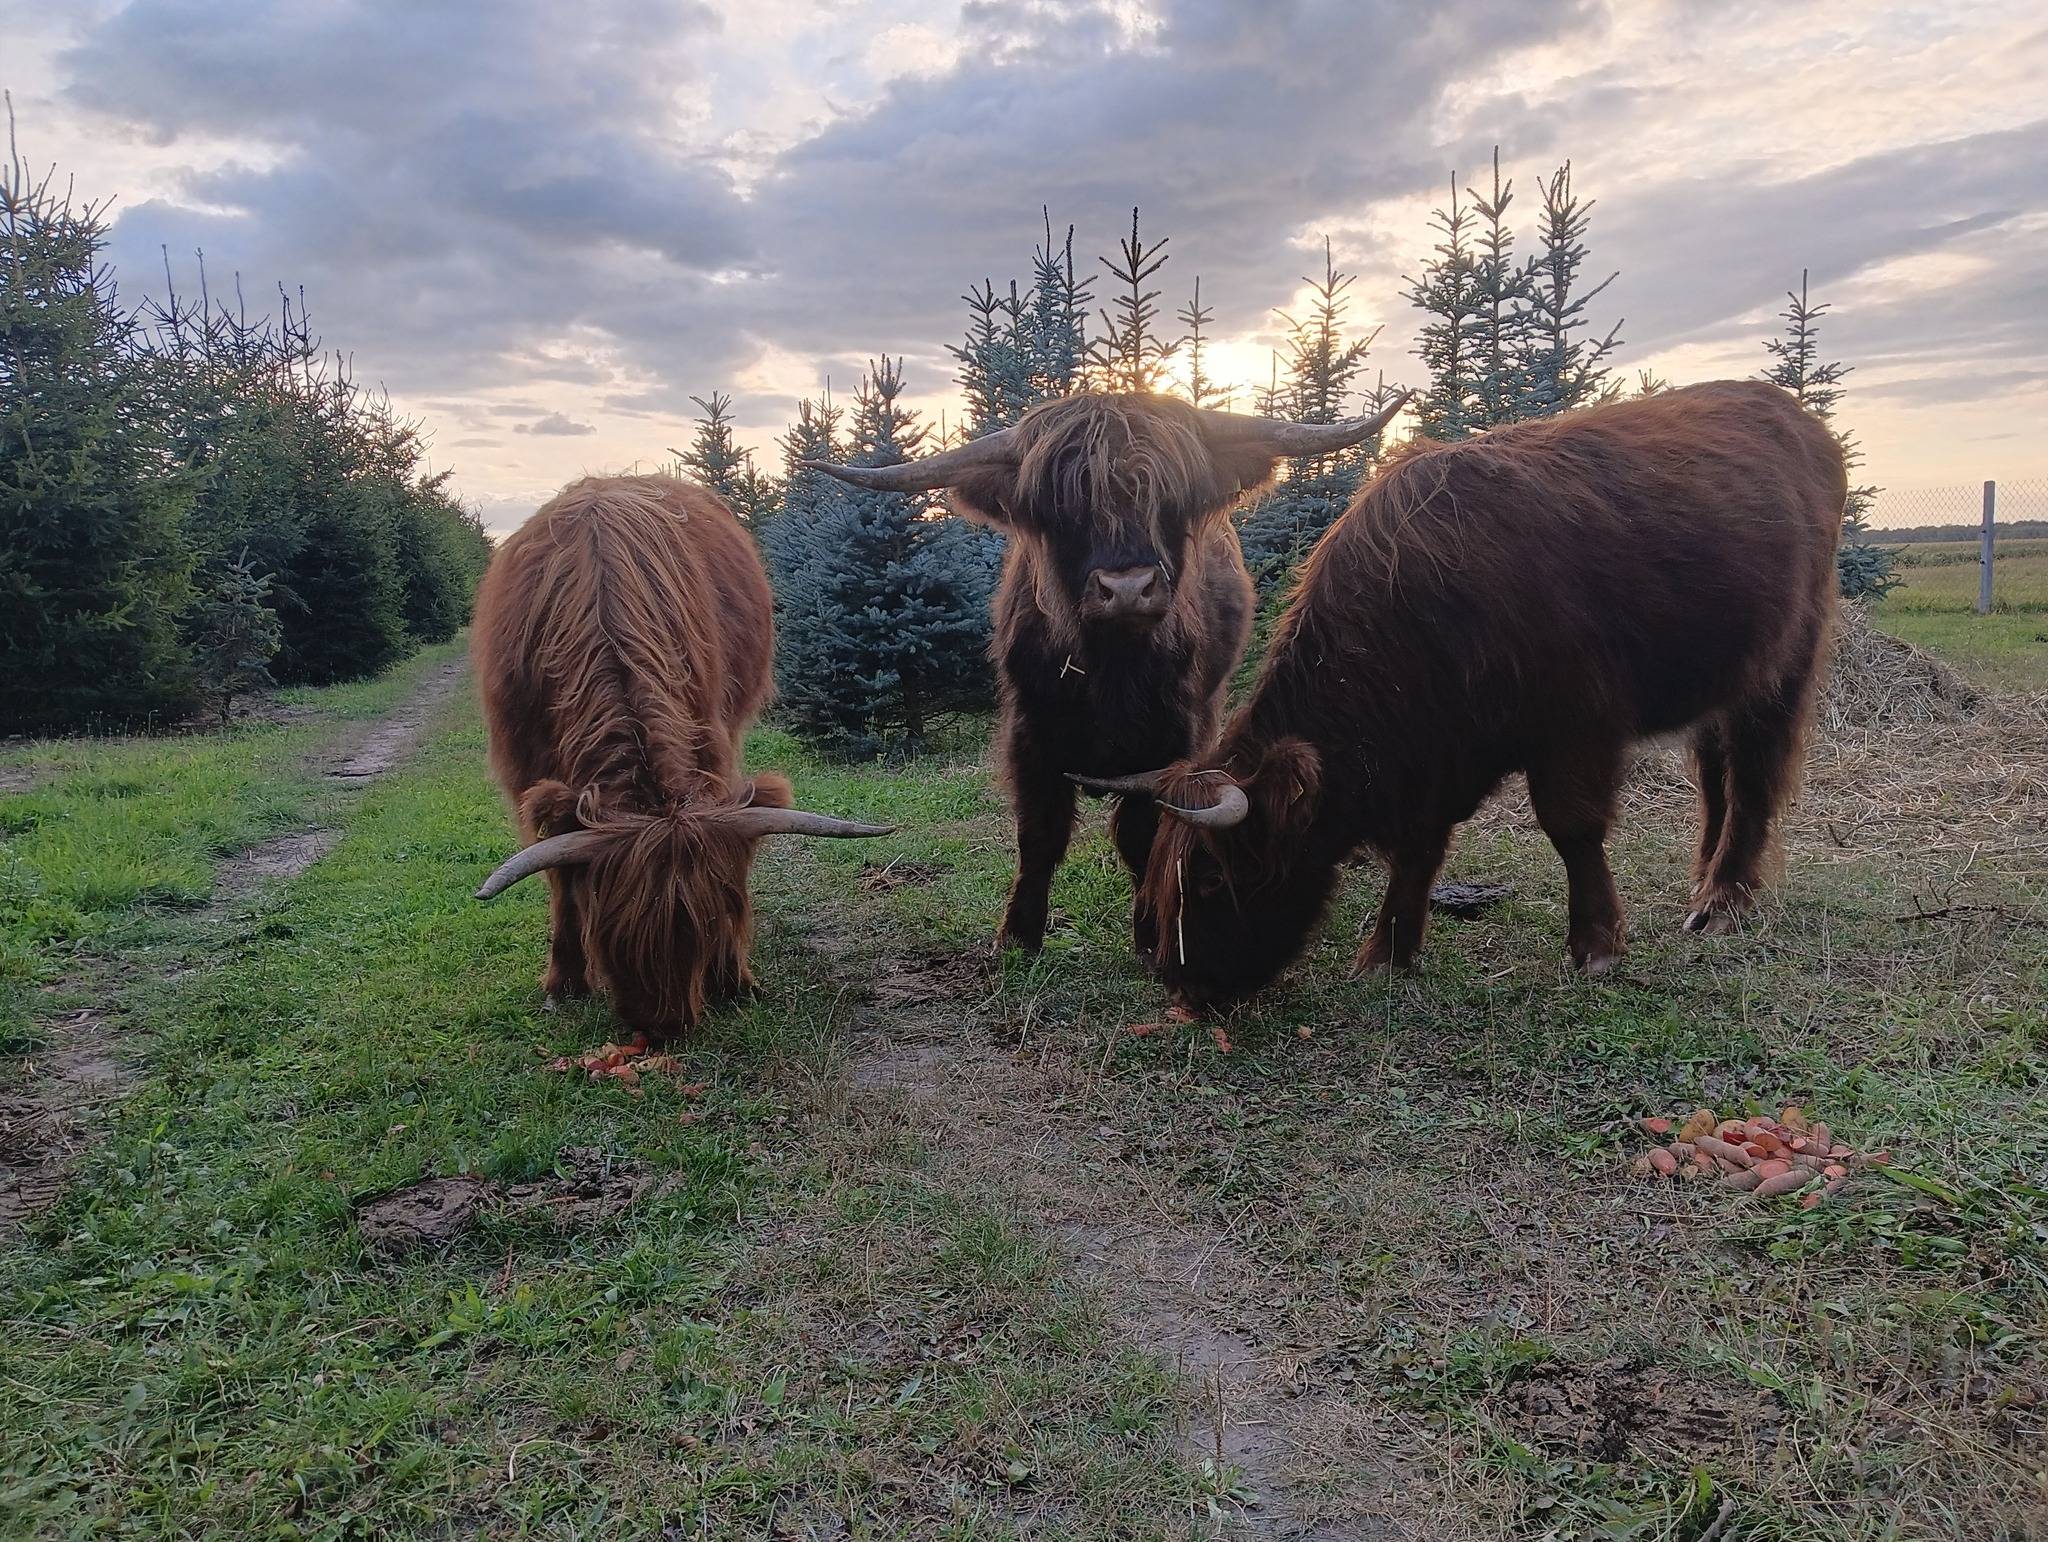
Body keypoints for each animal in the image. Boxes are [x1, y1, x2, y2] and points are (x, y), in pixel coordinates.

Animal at [471, 475, 891, 1037]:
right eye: (610, 930)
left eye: (715, 920)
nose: (663, 1025)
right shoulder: (529, 771)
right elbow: (560, 877)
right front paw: (564, 982)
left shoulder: (711, 740)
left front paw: (734, 979)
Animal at [809, 392, 1407, 954]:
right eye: (1060, 505)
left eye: (1170, 500)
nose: (1127, 588)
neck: (1110, 669)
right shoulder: (1031, 732)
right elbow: (1040, 834)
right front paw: (1019, 936)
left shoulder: (1169, 736)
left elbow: (1142, 833)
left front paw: (1148, 931)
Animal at [1078, 380, 1848, 1012]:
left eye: (1213, 879)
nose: (1179, 981)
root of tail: (1793, 415)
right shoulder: (1434, 754)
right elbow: (1419, 846)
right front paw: (1387, 952)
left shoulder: (1577, 726)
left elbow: (1572, 827)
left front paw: (1596, 945)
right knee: (1718, 776)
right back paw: (1704, 878)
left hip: (1784, 658)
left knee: (1755, 773)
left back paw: (1723, 901)